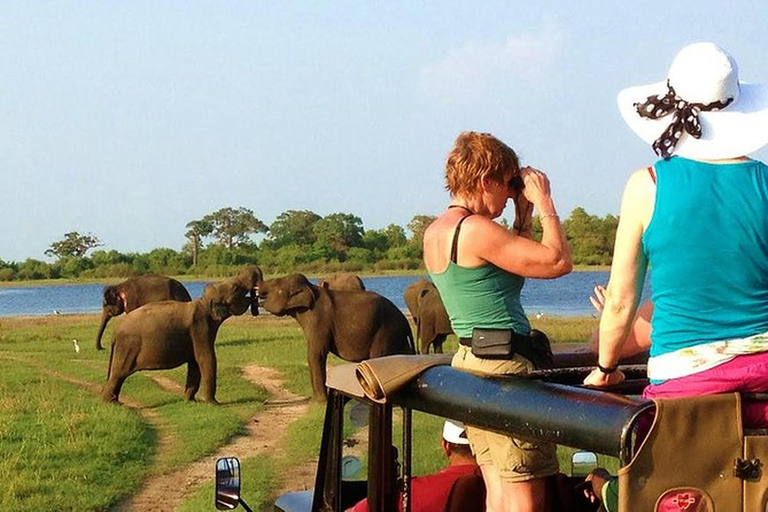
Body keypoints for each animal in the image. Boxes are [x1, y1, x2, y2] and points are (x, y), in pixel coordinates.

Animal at [100, 266, 262, 406]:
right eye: (236, 287)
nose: (256, 306)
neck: (203, 302)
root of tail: (115, 332)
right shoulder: (200, 329)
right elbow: (206, 359)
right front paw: (213, 403)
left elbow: (195, 364)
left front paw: (190, 400)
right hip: (127, 347)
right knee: (118, 374)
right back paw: (111, 403)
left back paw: (114, 401)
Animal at [256, 274, 414, 402]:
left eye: (274, 282)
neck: (310, 288)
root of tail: (405, 321)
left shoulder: (318, 319)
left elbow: (316, 353)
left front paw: (318, 403)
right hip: (396, 335)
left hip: (385, 331)